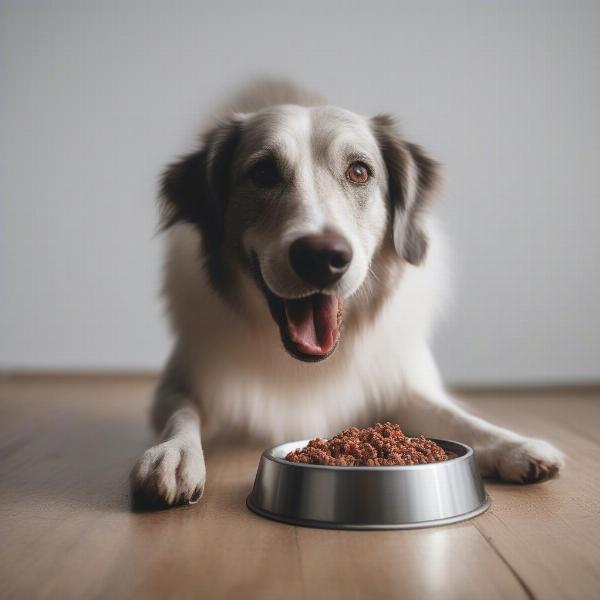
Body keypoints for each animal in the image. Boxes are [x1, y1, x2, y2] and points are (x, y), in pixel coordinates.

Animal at [130, 79, 564, 506]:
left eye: (358, 171)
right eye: (264, 172)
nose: (321, 257)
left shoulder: (399, 380)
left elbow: (456, 417)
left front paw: (513, 445)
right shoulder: (182, 380)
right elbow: (183, 414)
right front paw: (173, 454)